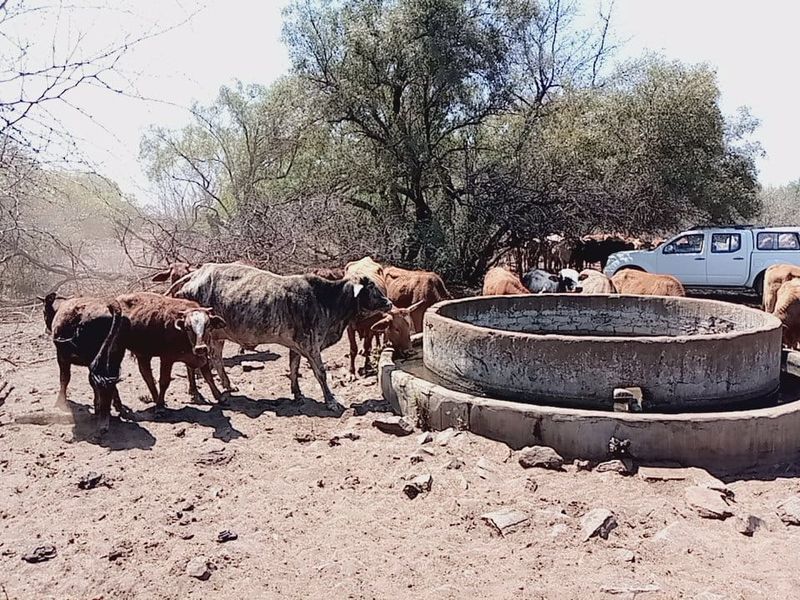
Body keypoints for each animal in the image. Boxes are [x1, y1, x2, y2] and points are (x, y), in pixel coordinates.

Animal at [49, 297, 128, 432]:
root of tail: (110, 305)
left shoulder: (62, 357)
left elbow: (64, 378)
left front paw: (60, 401)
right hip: (114, 358)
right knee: (109, 383)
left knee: (99, 384)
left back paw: (102, 418)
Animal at [167, 262, 392, 412]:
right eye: (371, 289)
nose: (389, 303)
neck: (325, 300)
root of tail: (194, 275)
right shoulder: (311, 346)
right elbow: (321, 373)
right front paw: (331, 401)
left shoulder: (296, 346)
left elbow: (293, 368)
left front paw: (298, 394)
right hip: (199, 334)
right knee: (193, 364)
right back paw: (196, 393)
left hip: (218, 335)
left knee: (216, 359)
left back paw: (228, 386)